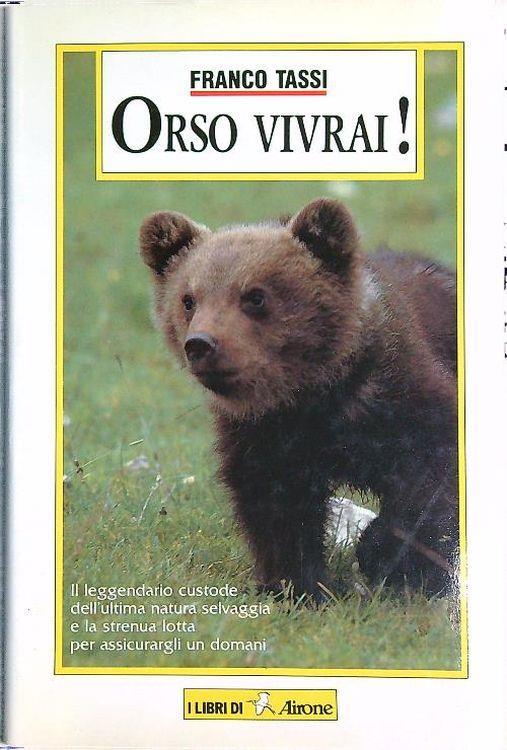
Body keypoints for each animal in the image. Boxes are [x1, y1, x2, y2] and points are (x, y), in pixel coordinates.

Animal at [140, 198, 458, 602]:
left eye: (255, 296)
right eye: (188, 299)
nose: (200, 344)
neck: (313, 397)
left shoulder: (401, 400)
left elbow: (430, 477)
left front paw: (390, 559)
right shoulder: (265, 436)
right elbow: (279, 510)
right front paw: (300, 586)